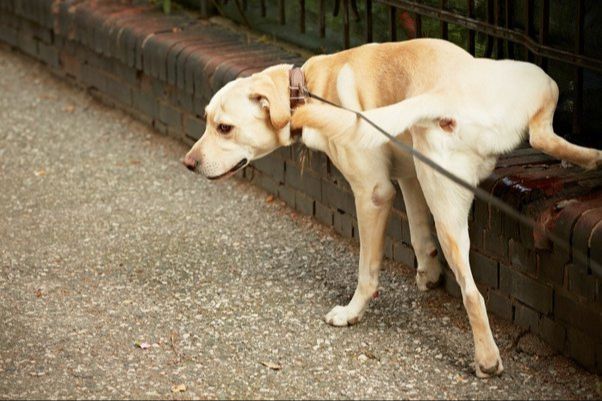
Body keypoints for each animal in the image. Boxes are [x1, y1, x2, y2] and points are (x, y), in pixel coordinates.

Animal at [183, 36, 600, 376]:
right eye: (206, 120)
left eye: (224, 127)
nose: (188, 163)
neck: (310, 86)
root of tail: (447, 94)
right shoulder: (411, 176)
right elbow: (417, 232)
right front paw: (428, 272)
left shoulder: (374, 193)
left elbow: (367, 272)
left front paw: (352, 313)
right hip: (532, 86)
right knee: (544, 137)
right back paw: (591, 158)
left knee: (472, 293)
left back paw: (486, 360)